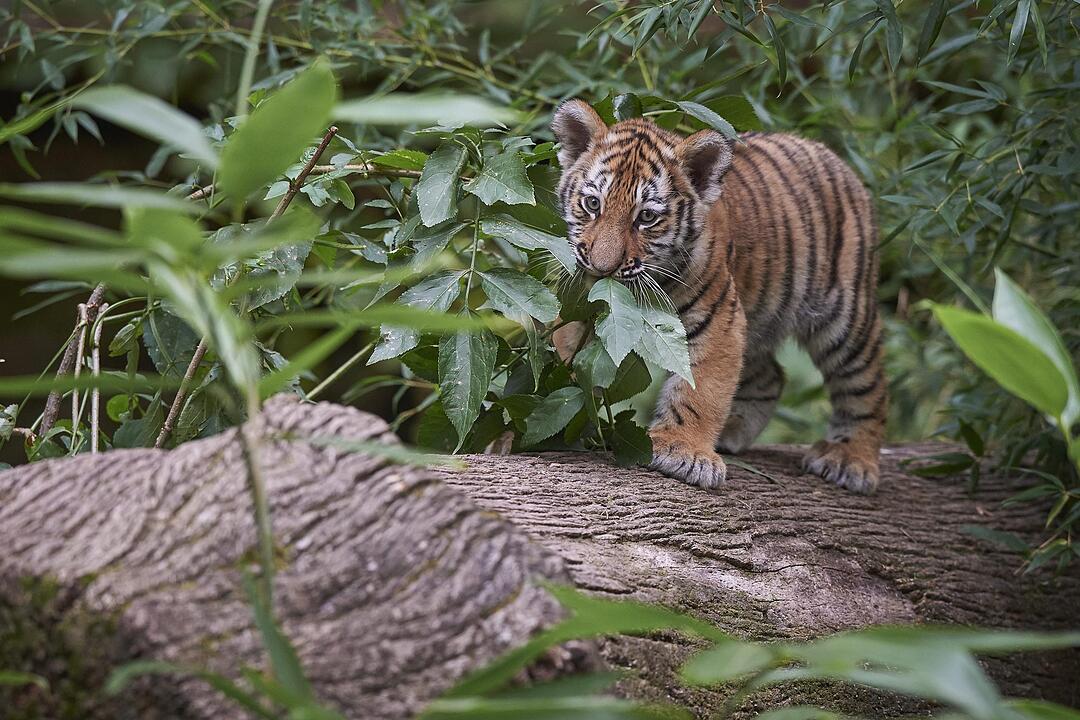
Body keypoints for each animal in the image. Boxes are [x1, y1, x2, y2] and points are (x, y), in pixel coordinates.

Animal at [550, 99, 888, 494]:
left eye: (646, 217)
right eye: (592, 204)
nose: (602, 269)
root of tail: (831, 155)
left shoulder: (719, 318)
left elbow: (702, 390)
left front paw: (683, 450)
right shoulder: (580, 304)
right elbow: (569, 355)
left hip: (845, 317)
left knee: (867, 385)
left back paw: (851, 459)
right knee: (771, 376)